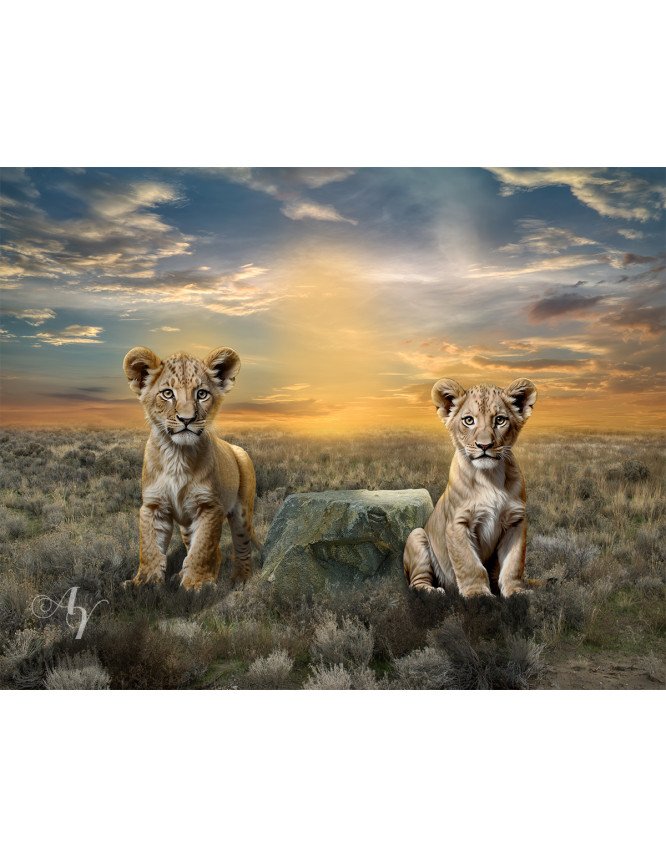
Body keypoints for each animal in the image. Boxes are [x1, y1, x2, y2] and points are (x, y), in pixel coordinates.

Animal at [122, 346, 258, 591]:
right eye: (168, 393)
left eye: (201, 394)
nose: (187, 419)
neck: (177, 455)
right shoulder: (153, 505)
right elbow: (149, 547)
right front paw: (144, 583)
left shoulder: (209, 506)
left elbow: (203, 547)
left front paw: (197, 585)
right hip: (186, 523)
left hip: (242, 511)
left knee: (241, 545)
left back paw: (240, 579)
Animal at [403, 377, 537, 599]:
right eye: (468, 420)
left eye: (500, 420)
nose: (484, 445)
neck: (489, 477)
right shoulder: (458, 523)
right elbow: (469, 563)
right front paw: (478, 595)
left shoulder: (516, 522)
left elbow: (514, 563)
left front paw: (516, 592)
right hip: (416, 536)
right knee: (416, 582)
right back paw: (432, 591)